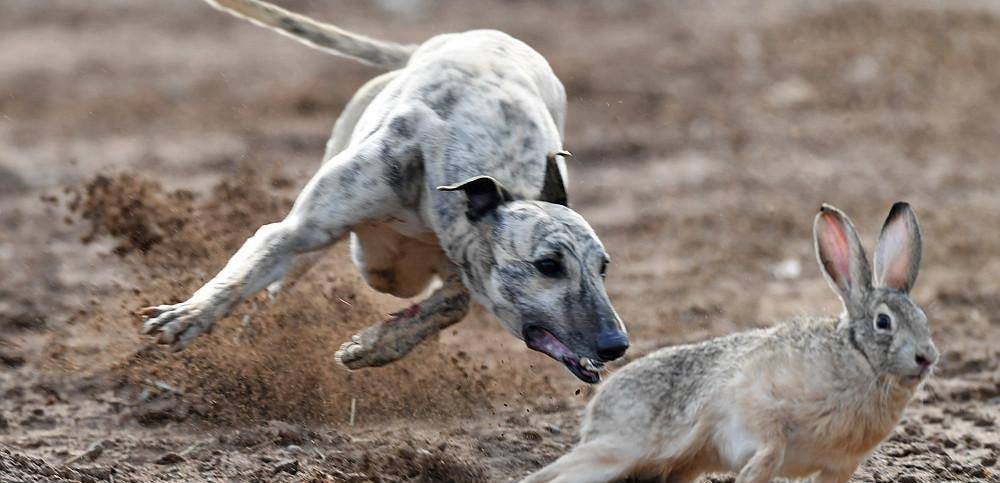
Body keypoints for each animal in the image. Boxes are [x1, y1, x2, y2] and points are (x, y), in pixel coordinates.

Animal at [141, 0, 628, 386]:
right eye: (547, 265)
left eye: (603, 267)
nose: (617, 344)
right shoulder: (301, 228)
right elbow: (244, 273)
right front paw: (188, 316)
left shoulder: (464, 266)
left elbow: (450, 306)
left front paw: (376, 344)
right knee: (280, 283)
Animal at [520, 202, 940, 482]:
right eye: (883, 322)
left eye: (924, 320)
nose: (927, 357)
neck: (859, 360)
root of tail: (596, 410)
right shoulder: (754, 405)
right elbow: (770, 446)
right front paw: (752, 474)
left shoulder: (838, 467)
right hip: (619, 449)